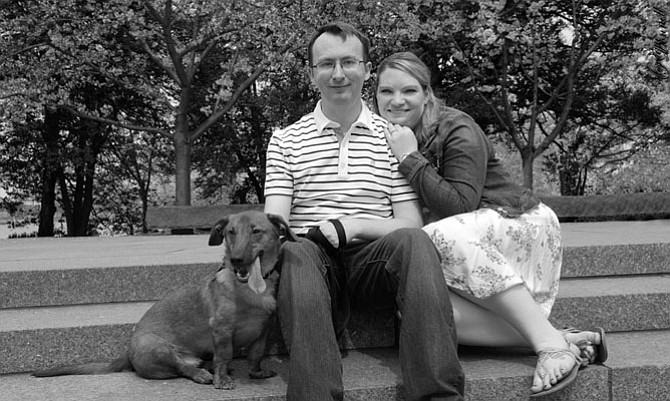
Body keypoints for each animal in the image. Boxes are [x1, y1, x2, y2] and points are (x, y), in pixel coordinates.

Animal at [32, 211, 298, 390]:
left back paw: (207, 368)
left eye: (256, 231)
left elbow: (256, 354)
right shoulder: (221, 330)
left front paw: (256, 372)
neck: (249, 290)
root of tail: (128, 353)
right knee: (182, 368)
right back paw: (202, 373)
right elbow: (223, 356)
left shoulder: (263, 330)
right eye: (230, 232)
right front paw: (222, 379)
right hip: (158, 348)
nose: (236, 259)